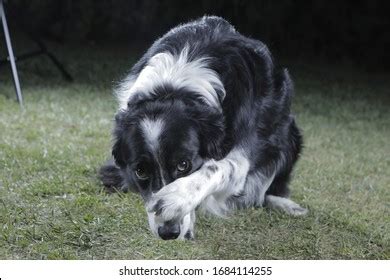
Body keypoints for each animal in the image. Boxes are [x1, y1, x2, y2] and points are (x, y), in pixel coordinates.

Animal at [100, 15, 308, 241]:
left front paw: (175, 199)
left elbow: (216, 167)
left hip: (289, 135)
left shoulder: (241, 156)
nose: (168, 233)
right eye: (140, 171)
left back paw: (286, 205)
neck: (173, 87)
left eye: (183, 165)